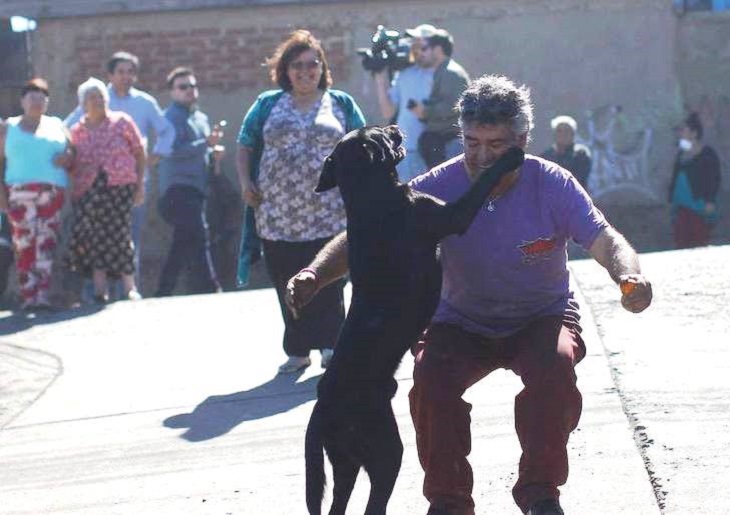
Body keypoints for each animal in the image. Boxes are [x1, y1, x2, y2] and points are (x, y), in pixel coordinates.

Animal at [302, 126, 524, 515]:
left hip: (345, 462)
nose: (396, 128)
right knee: (374, 501)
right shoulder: (450, 215)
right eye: (378, 132)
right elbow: (482, 184)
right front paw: (509, 158)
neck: (369, 196)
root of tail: (321, 408)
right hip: (383, 450)